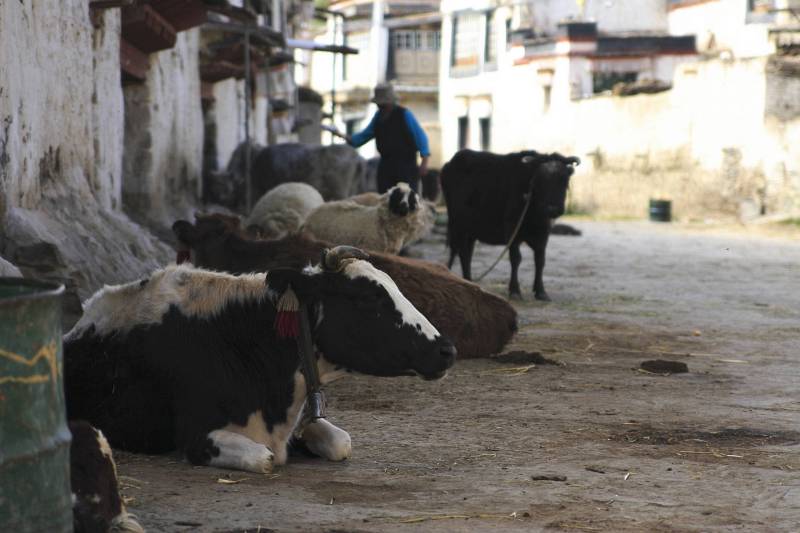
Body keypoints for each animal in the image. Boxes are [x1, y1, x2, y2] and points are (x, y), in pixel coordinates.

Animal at [440, 150, 580, 300]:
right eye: (540, 181)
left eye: (564, 180)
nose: (552, 209)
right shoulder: (512, 229)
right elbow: (516, 259)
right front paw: (515, 290)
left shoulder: (543, 233)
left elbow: (540, 260)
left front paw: (541, 291)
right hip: (457, 224)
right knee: (460, 251)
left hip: (471, 229)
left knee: (466, 252)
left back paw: (469, 280)